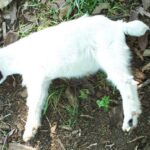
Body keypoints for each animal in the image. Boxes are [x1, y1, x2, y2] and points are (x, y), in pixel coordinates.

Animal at [0, 15, 149, 142]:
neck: (15, 56)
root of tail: (117, 26)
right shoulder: (43, 81)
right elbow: (39, 102)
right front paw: (33, 127)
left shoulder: (36, 78)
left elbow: (33, 103)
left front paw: (29, 129)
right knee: (131, 83)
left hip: (110, 57)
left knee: (126, 83)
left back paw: (129, 119)